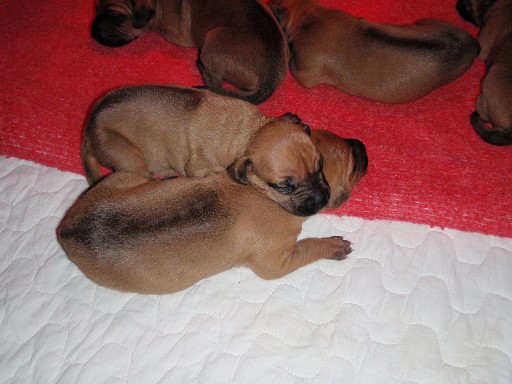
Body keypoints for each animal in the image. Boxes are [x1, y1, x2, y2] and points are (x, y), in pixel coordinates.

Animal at [56, 130, 368, 294]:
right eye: (353, 161)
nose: (361, 144)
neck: (263, 195)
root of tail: (64, 231)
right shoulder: (276, 262)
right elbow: (309, 247)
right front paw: (331, 245)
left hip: (123, 177)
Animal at [91, 0, 288, 104]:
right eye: (96, 8)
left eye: (116, 16)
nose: (93, 32)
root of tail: (269, 80)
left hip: (212, 39)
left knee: (214, 82)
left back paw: (200, 66)